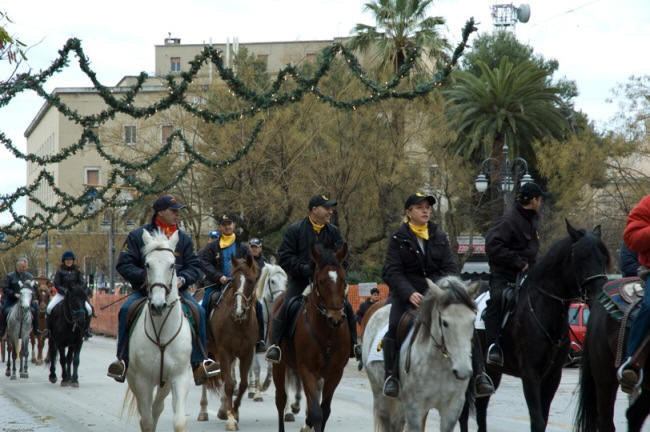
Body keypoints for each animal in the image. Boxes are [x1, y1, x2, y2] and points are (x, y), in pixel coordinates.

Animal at [123, 231, 190, 430]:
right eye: (147, 264)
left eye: (172, 264)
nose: (158, 306)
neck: (162, 332)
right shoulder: (142, 381)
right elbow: (146, 422)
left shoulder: (179, 377)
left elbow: (179, 421)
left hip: (164, 384)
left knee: (158, 407)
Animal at [197, 255, 258, 430]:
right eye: (233, 281)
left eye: (251, 281)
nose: (239, 311)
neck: (238, 323)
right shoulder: (225, 351)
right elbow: (230, 384)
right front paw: (231, 420)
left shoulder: (247, 353)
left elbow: (242, 384)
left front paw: (234, 412)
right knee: (205, 377)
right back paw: (204, 411)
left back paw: (223, 409)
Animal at [270, 243, 350, 432]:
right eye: (321, 281)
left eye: (343, 281)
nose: (336, 318)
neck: (328, 333)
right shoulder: (308, 370)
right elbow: (316, 412)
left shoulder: (335, 373)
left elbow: (325, 410)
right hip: (279, 366)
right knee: (281, 399)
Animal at [364, 276, 476, 432]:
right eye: (445, 323)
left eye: (473, 320)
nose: (463, 370)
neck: (439, 365)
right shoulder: (415, 407)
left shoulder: (452, 408)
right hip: (381, 396)